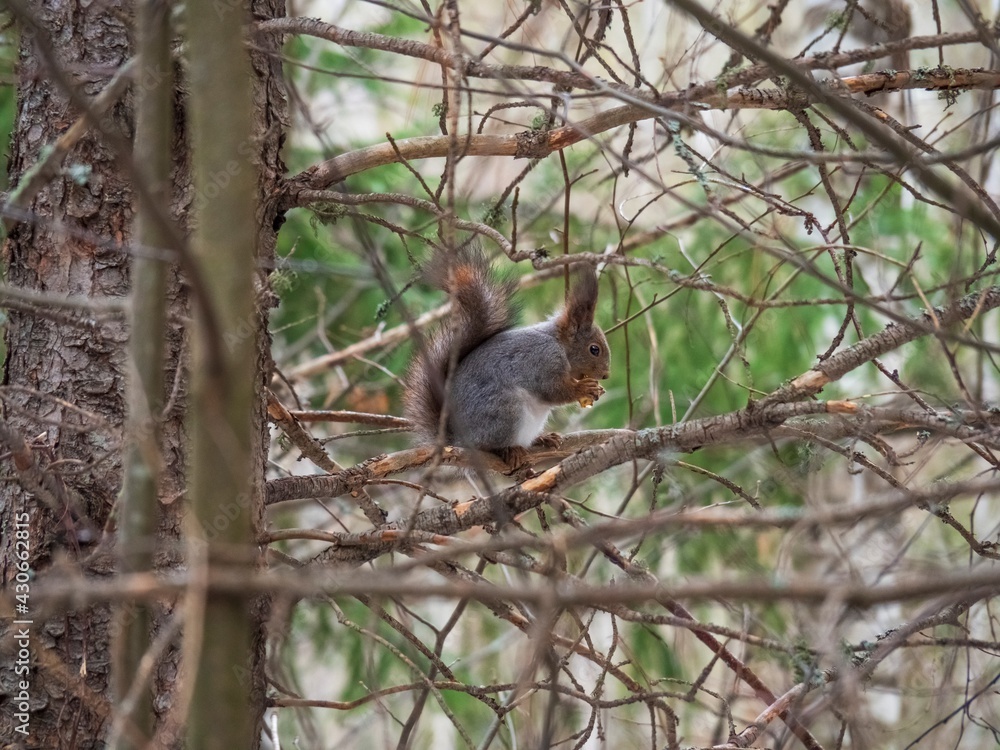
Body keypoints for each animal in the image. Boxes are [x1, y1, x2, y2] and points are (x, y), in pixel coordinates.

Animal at [404, 247, 610, 468]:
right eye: (594, 349)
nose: (606, 375)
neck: (558, 343)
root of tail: (458, 440)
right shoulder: (543, 359)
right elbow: (553, 390)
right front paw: (583, 388)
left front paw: (597, 390)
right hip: (505, 411)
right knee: (489, 444)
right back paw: (507, 450)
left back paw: (542, 438)